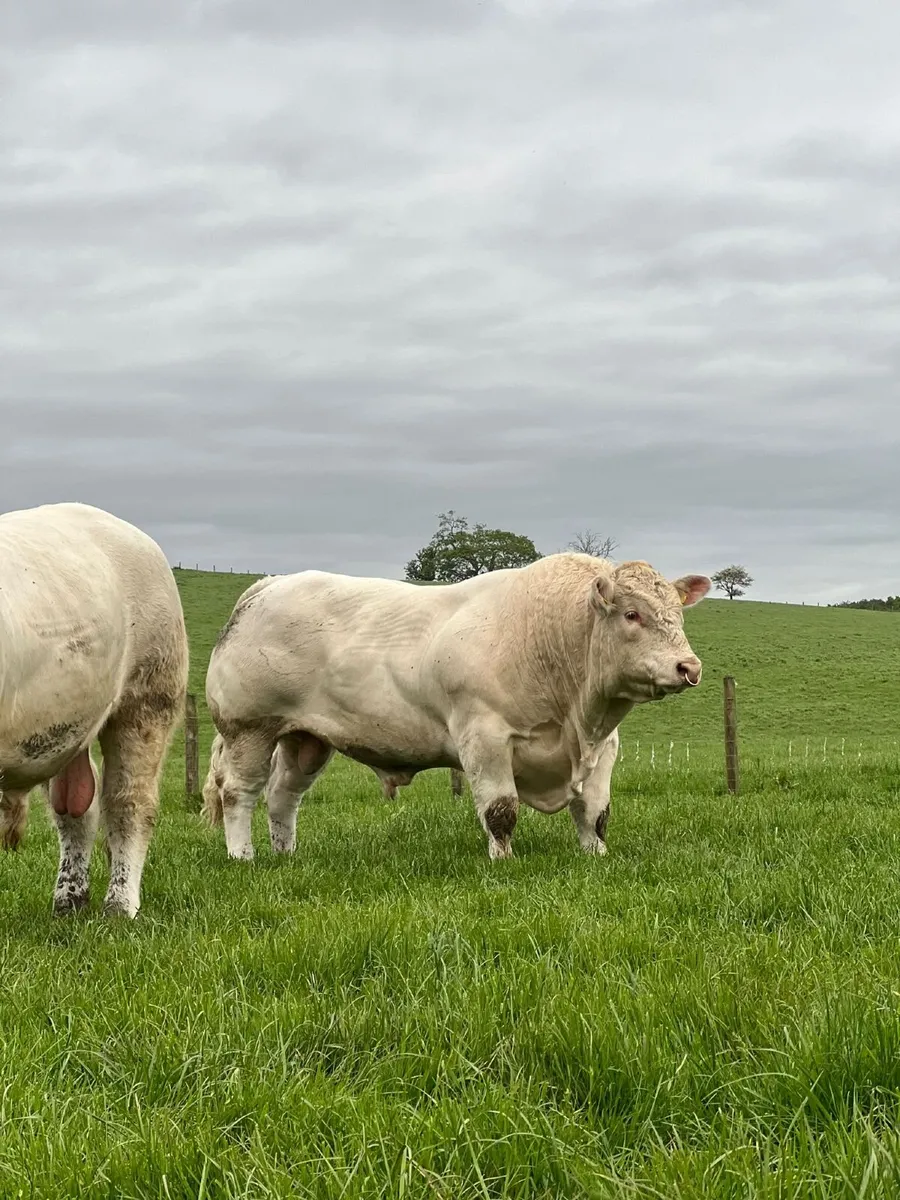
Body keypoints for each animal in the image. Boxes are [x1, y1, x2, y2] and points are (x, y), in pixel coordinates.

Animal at [0, 502, 188, 917]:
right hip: (67, 727)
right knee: (76, 812)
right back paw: (69, 899)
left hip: (148, 697)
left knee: (128, 803)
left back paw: (119, 905)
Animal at [201, 554, 709, 863]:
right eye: (632, 614)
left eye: (677, 615)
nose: (688, 666)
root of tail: (267, 586)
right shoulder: (484, 737)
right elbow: (501, 810)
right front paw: (503, 859)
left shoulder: (604, 747)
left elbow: (595, 813)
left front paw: (596, 856)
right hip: (249, 730)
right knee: (239, 793)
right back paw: (243, 856)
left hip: (305, 739)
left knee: (283, 795)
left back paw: (285, 854)